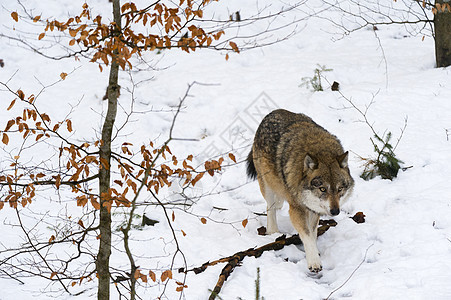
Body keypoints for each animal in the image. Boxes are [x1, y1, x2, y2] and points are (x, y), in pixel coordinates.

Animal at [249, 109, 354, 274]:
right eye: (322, 189)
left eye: (340, 189)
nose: (335, 211)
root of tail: (273, 112)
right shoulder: (297, 209)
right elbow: (307, 234)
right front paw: (314, 262)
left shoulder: (314, 209)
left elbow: (313, 233)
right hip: (266, 184)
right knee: (270, 207)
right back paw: (273, 231)